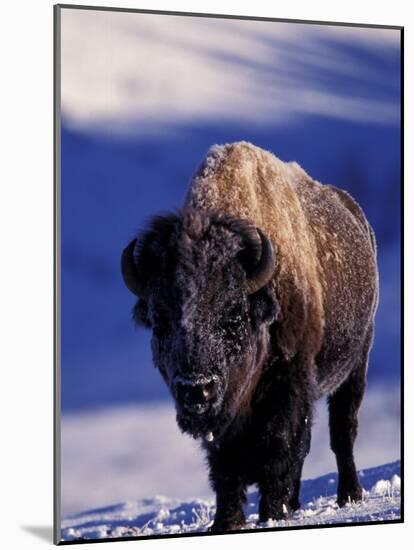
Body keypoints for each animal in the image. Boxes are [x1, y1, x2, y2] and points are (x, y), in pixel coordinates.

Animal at [120, 142, 378, 536]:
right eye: (159, 318)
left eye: (233, 315)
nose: (196, 390)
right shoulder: (225, 419)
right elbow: (226, 465)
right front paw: (226, 522)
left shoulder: (289, 384)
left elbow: (281, 445)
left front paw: (273, 512)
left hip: (356, 364)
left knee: (342, 431)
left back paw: (349, 496)